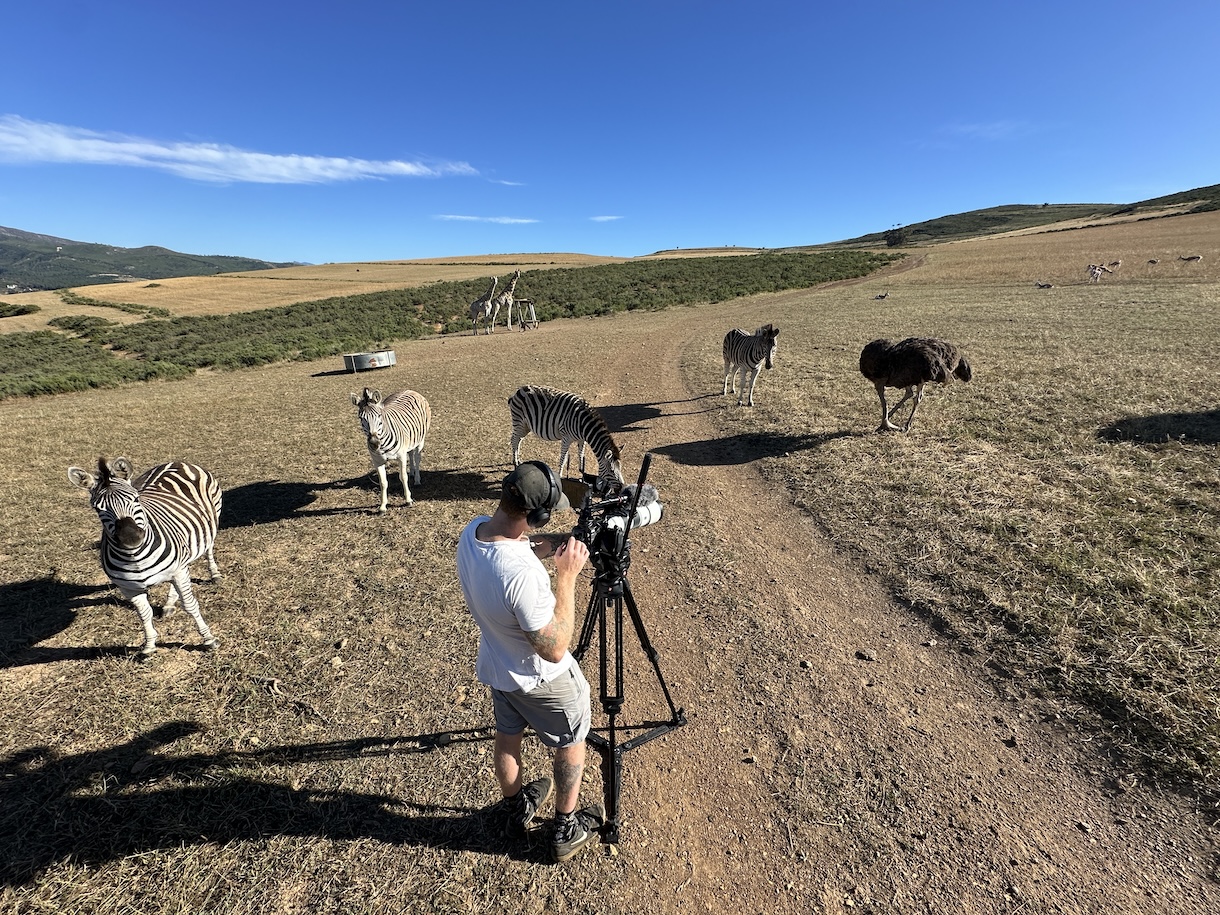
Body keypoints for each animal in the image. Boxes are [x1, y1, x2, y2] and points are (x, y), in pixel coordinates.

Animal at [67, 456, 222, 656]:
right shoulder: (128, 588)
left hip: (212, 521)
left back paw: (214, 574)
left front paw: (208, 639)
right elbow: (144, 614)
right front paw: (149, 645)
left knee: (208, 549)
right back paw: (169, 603)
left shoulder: (178, 571)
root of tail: (176, 462)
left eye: (136, 498)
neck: (136, 558)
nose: (131, 537)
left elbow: (190, 605)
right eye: (97, 508)